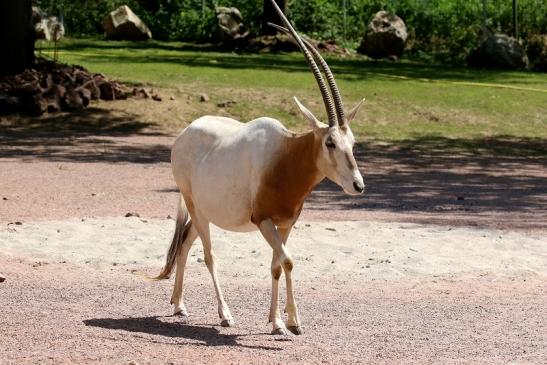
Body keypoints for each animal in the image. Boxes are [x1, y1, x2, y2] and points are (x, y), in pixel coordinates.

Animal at [156, 0, 366, 334]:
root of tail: (184, 134)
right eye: (330, 142)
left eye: (353, 141)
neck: (285, 157)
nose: (358, 185)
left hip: (204, 211)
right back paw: (224, 314)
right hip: (195, 205)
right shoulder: (263, 220)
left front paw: (277, 321)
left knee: (186, 243)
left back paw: (179, 305)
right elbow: (288, 261)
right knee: (209, 255)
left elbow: (276, 265)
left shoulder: (286, 223)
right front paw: (292, 323)